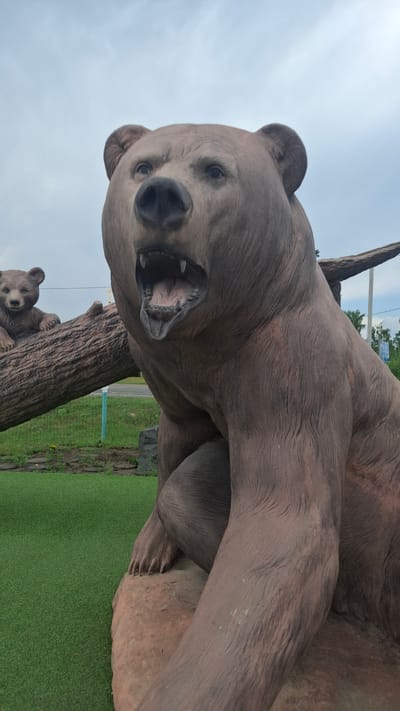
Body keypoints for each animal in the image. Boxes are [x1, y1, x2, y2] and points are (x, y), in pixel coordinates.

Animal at [102, 122, 400, 710]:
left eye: (215, 170)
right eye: (143, 166)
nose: (161, 196)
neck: (209, 345)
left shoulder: (293, 369)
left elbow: (285, 526)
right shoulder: (165, 371)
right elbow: (176, 450)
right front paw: (149, 550)